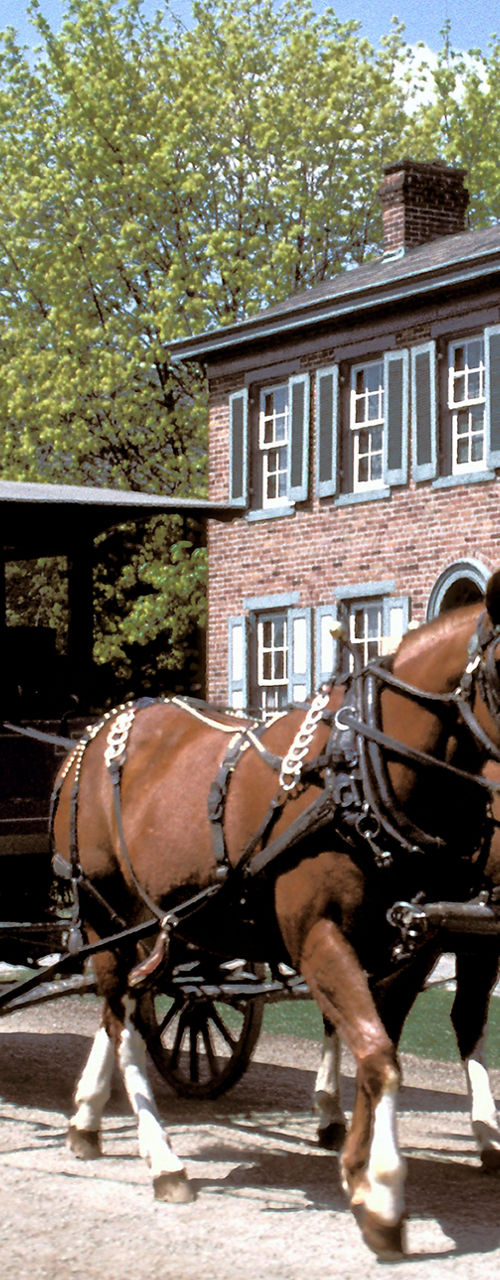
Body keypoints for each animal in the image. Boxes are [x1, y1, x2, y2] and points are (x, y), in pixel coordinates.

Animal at [51, 570, 500, 1262]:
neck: (358, 770)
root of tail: (91, 735)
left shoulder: (415, 942)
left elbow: (384, 1046)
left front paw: (356, 1158)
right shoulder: (319, 935)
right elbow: (378, 1051)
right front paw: (381, 1193)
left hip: (169, 925)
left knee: (127, 1003)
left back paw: (87, 1120)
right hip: (104, 910)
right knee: (119, 1016)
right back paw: (163, 1160)